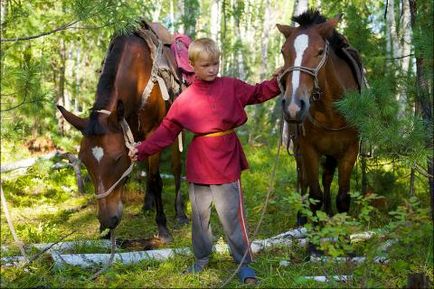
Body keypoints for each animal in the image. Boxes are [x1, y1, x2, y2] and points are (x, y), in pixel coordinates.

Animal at [56, 23, 187, 242]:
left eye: (117, 159)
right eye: (85, 161)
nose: (107, 221)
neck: (137, 75)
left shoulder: (154, 131)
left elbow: (156, 178)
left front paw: (162, 226)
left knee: (176, 167)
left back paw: (180, 213)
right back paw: (147, 205)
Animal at [278, 10, 362, 224]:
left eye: (319, 51)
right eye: (283, 52)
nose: (293, 107)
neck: (331, 113)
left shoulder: (350, 150)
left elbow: (343, 198)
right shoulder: (309, 149)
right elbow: (314, 196)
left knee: (327, 177)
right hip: (298, 148)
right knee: (303, 180)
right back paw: (301, 216)